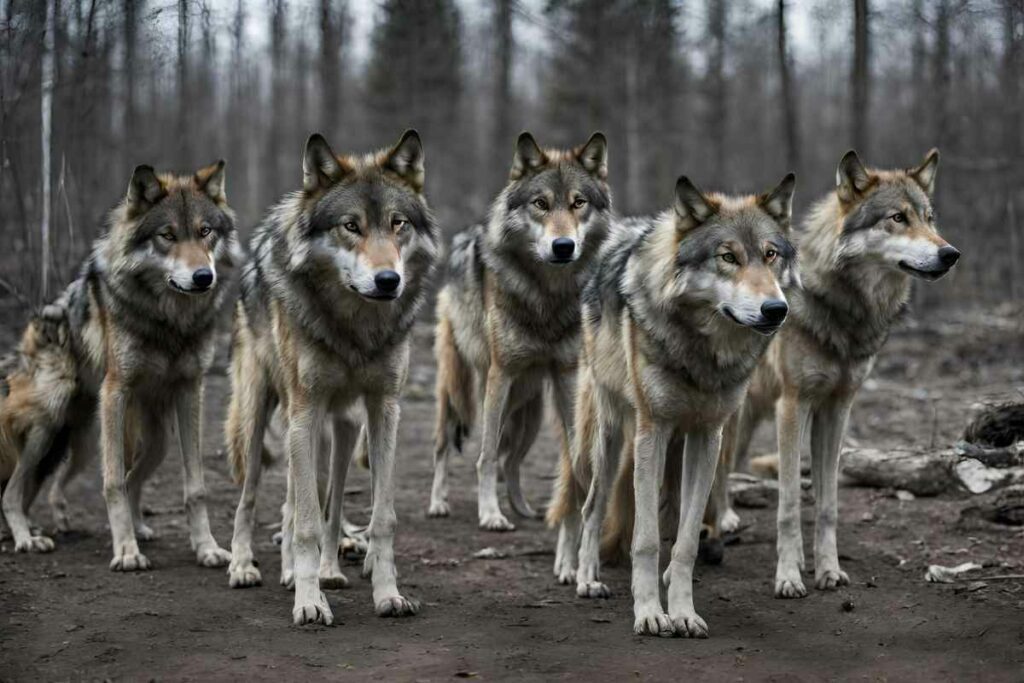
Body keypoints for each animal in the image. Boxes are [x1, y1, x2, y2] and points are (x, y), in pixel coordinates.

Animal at [0, 161, 242, 569]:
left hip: (141, 441)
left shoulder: (190, 390)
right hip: (50, 424)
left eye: (205, 231)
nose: (203, 277)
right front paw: (126, 551)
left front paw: (206, 548)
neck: (169, 321)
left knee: (110, 480)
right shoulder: (115, 391)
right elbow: (113, 482)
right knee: (14, 492)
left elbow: (195, 486)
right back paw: (27, 538)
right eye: (167, 235)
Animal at [224, 130, 438, 626]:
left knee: (331, 501)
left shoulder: (385, 409)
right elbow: (304, 522)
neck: (355, 328)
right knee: (251, 498)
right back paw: (247, 566)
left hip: (341, 429)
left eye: (397, 224)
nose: (388, 280)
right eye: (350, 226)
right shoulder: (304, 412)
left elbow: (380, 517)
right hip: (262, 416)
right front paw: (309, 602)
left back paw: (328, 570)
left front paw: (387, 593)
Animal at [429, 132, 611, 531]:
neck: (546, 294)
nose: (563, 246)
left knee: (511, 460)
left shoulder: (566, 376)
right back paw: (438, 503)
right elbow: (485, 457)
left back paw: (523, 507)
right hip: (463, 393)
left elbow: (573, 450)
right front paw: (490, 514)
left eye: (578, 203)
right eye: (541, 204)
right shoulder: (500, 374)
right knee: (446, 446)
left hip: (531, 412)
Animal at [548, 173, 798, 637]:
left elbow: (683, 542)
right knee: (590, 505)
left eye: (770, 254)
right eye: (727, 257)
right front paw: (649, 613)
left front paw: (682, 611)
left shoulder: (708, 435)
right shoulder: (653, 432)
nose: (775, 309)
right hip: (607, 437)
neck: (703, 353)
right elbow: (645, 539)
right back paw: (585, 576)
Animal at [708, 149, 958, 599]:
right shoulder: (794, 405)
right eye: (898, 218)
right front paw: (789, 576)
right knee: (719, 468)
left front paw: (827, 570)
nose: (950, 254)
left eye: (930, 219)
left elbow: (827, 504)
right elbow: (790, 502)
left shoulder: (837, 408)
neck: (846, 310)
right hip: (735, 414)